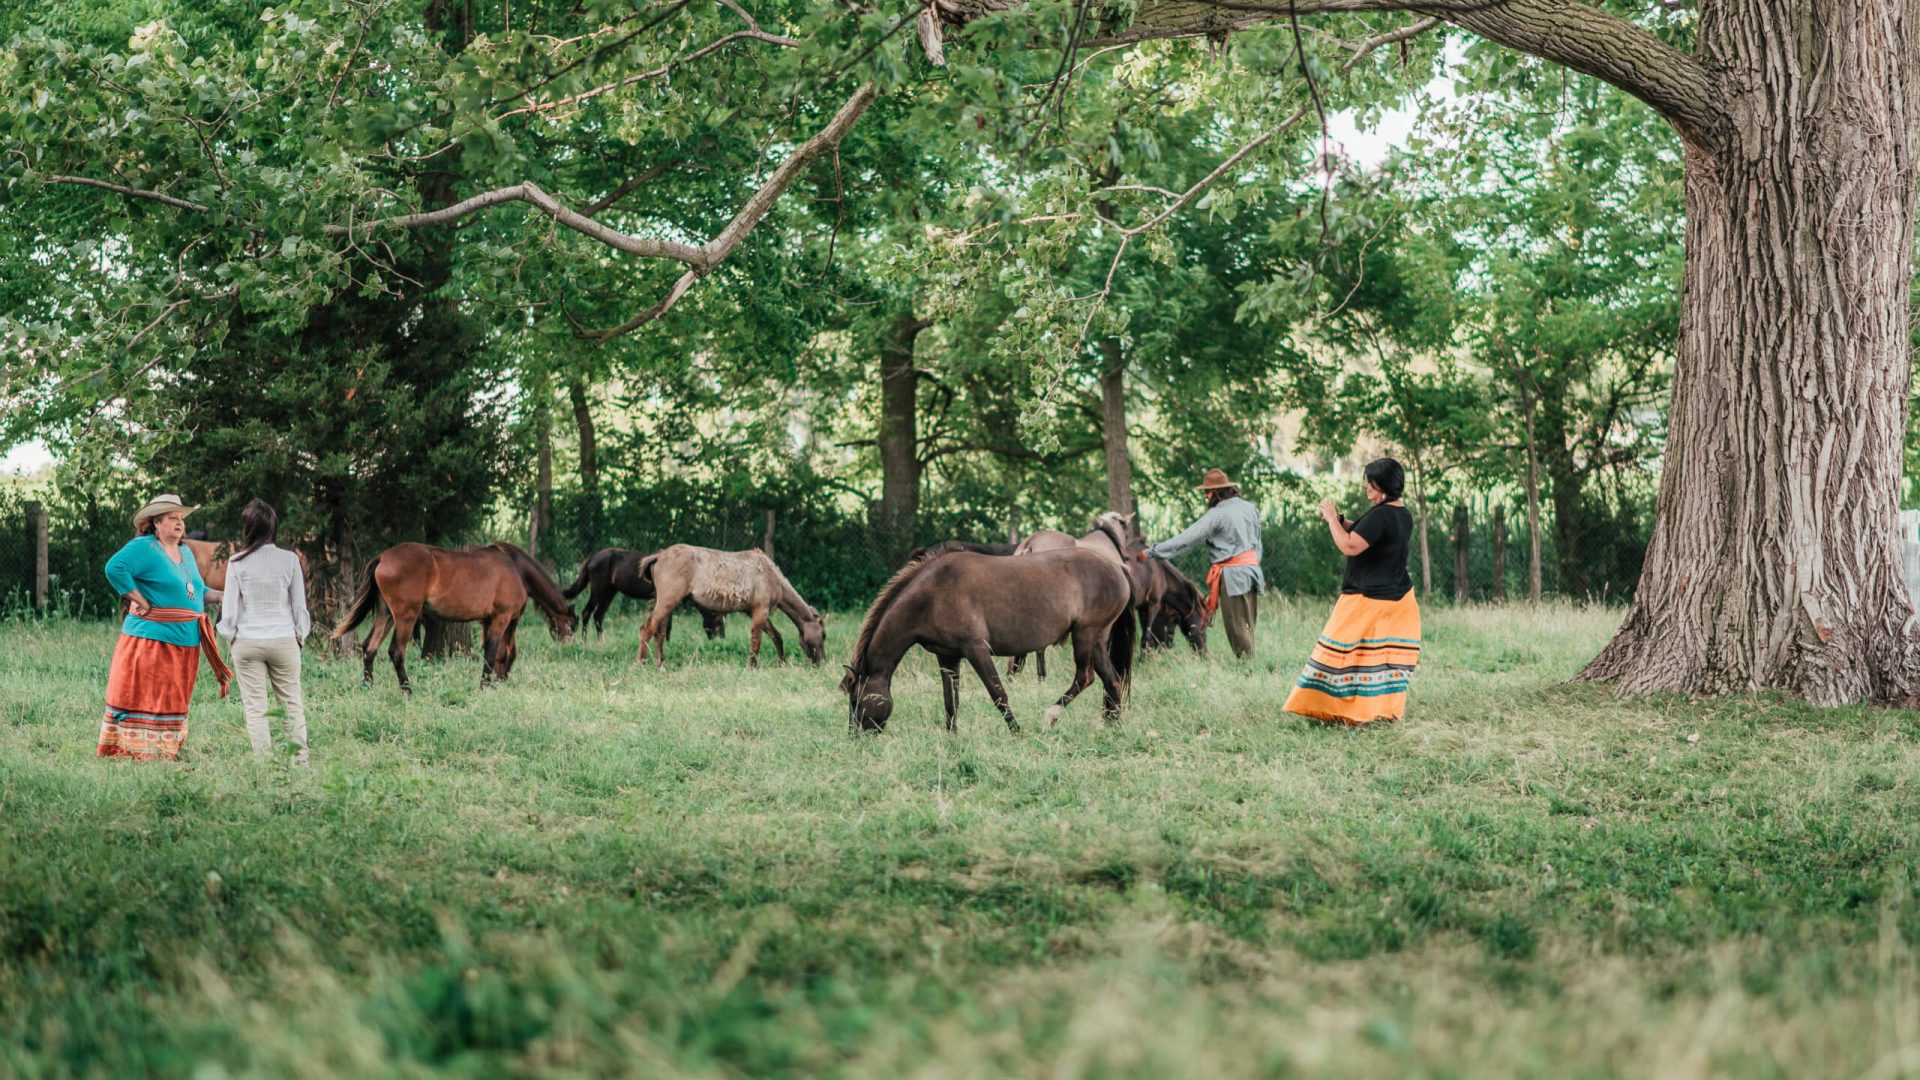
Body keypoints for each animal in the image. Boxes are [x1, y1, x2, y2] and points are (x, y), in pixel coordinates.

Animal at [332, 538, 576, 687]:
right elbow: (493, 653)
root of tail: (382, 557)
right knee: (396, 652)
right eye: (572, 625)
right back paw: (408, 689)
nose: (568, 643)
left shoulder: (497, 621)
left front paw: (498, 682)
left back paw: (368, 685)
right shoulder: (501, 618)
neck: (515, 567)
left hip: (386, 616)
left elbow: (505, 653)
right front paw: (485, 685)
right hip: (405, 617)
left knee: (369, 648)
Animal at [564, 545, 729, 638]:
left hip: (610, 592)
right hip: (598, 590)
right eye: (719, 621)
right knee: (586, 613)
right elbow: (666, 625)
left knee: (598, 616)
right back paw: (585, 641)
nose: (721, 639)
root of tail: (592, 558)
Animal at [633, 545, 821, 664]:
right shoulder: (761, 610)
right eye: (823, 635)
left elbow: (776, 636)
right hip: (667, 601)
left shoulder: (754, 611)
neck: (773, 577)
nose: (820, 662)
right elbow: (756, 641)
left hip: (666, 604)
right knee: (647, 629)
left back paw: (661, 666)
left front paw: (782, 663)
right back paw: (641, 665)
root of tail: (658, 556)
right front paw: (751, 668)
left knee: (660, 633)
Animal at [844, 541, 1136, 734]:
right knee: (1112, 680)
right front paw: (951, 736)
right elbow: (950, 700)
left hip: (1084, 635)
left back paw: (1051, 716)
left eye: (855, 699)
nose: (856, 736)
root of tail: (1118, 566)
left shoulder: (976, 649)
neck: (932, 594)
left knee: (1085, 677)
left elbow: (998, 694)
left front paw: (1017, 732)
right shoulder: (947, 656)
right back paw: (1112, 726)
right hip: (1097, 640)